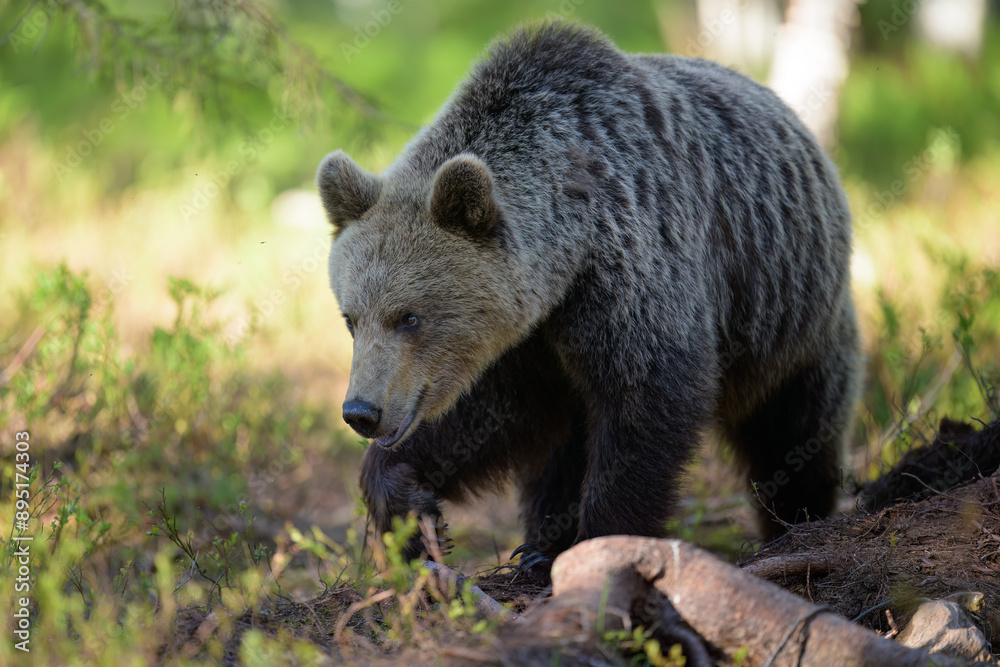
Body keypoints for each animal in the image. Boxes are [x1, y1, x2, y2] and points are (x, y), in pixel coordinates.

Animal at [317, 21, 862, 575]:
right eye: (350, 318)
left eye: (409, 317)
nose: (361, 411)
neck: (570, 254)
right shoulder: (529, 338)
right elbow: (495, 417)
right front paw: (416, 515)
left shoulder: (632, 269)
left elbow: (645, 401)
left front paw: (603, 542)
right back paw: (538, 543)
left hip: (791, 315)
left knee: (794, 431)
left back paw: (797, 519)